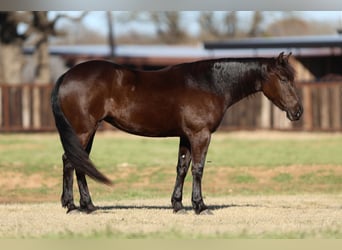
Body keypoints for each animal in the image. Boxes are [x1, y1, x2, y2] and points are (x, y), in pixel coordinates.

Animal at [50, 51, 302, 214]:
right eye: (283, 78)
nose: (298, 111)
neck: (209, 83)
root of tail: (66, 76)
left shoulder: (186, 136)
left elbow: (182, 168)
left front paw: (178, 205)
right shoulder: (200, 135)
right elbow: (198, 169)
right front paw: (200, 206)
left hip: (87, 131)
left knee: (78, 161)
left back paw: (87, 205)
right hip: (83, 131)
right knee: (71, 161)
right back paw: (73, 206)